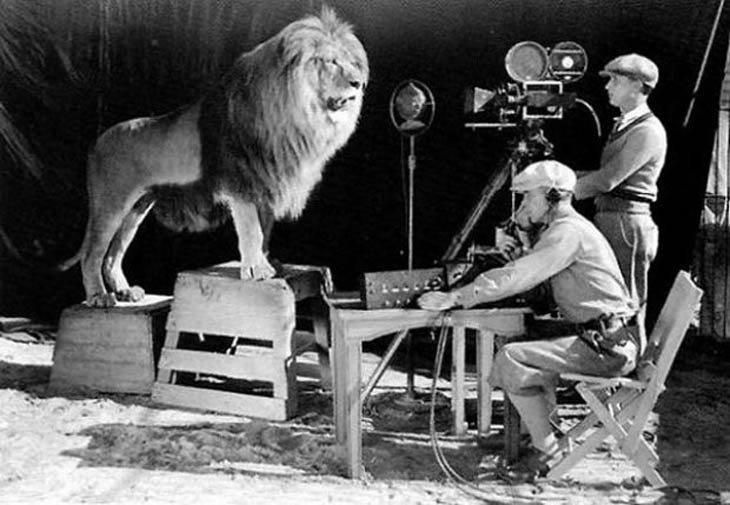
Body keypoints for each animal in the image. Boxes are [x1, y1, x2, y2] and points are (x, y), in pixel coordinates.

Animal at [59, 8, 366, 308]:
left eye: (353, 63)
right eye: (331, 61)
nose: (359, 83)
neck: (292, 112)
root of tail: (97, 142)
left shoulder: (265, 182)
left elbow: (265, 229)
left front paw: (269, 263)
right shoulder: (241, 182)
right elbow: (252, 229)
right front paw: (257, 270)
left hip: (137, 207)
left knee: (113, 254)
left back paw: (125, 292)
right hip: (111, 203)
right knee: (93, 253)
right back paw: (99, 297)